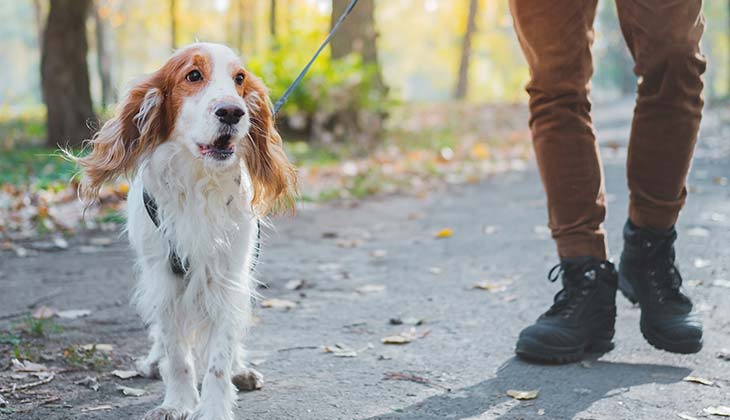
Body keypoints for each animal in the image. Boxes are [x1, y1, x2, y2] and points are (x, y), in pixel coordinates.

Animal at [77, 42, 296, 420]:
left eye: (239, 79)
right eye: (193, 75)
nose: (233, 112)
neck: (198, 181)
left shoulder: (227, 278)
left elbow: (219, 357)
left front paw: (213, 407)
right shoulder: (163, 277)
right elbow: (177, 353)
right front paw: (177, 403)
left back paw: (241, 369)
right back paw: (154, 362)